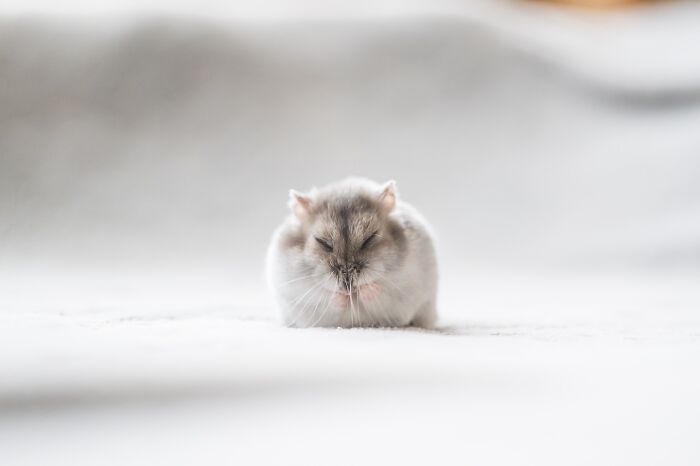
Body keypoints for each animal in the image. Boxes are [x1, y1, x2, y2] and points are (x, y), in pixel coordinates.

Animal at [266, 177, 438, 328]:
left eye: (369, 238)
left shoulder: (400, 291)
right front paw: (342, 295)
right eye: (323, 243)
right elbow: (327, 297)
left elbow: (378, 293)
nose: (348, 281)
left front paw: (365, 289)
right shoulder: (299, 293)